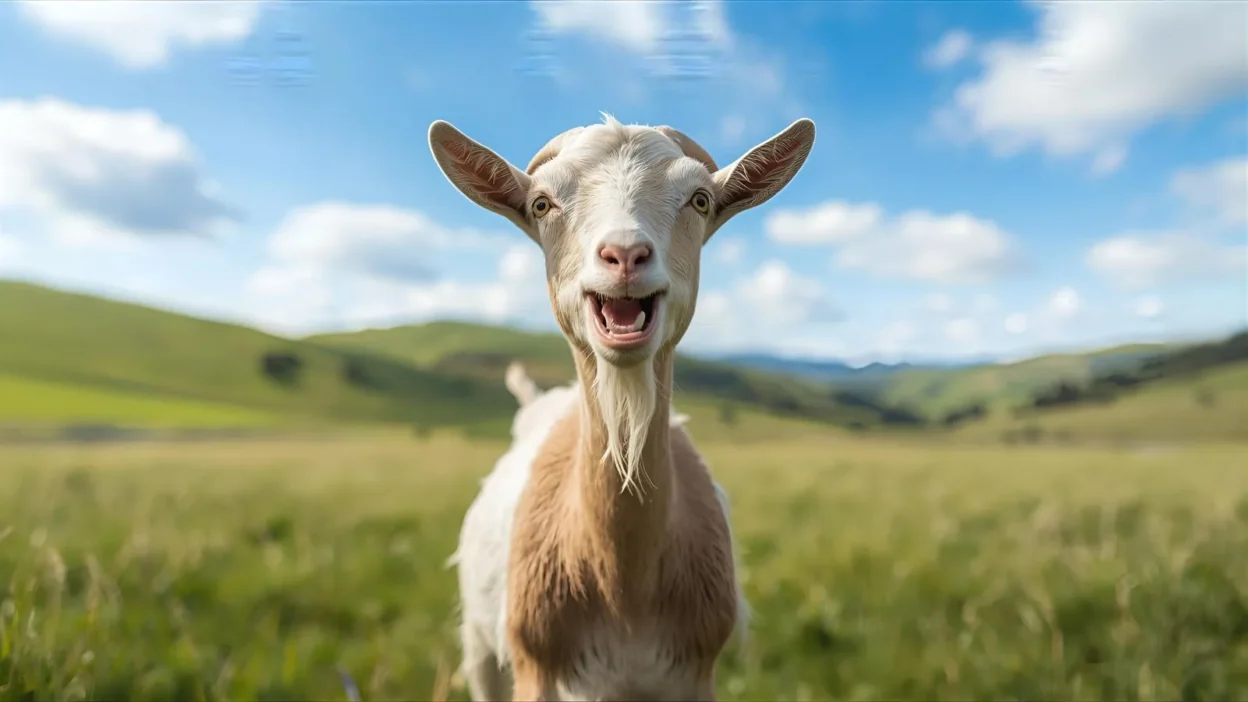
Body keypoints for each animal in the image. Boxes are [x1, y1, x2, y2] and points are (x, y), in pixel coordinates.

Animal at [430, 113, 815, 700]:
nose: (626, 255)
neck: (624, 589)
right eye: (542, 204)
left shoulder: (695, 672)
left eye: (700, 199)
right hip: (480, 645)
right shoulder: (534, 667)